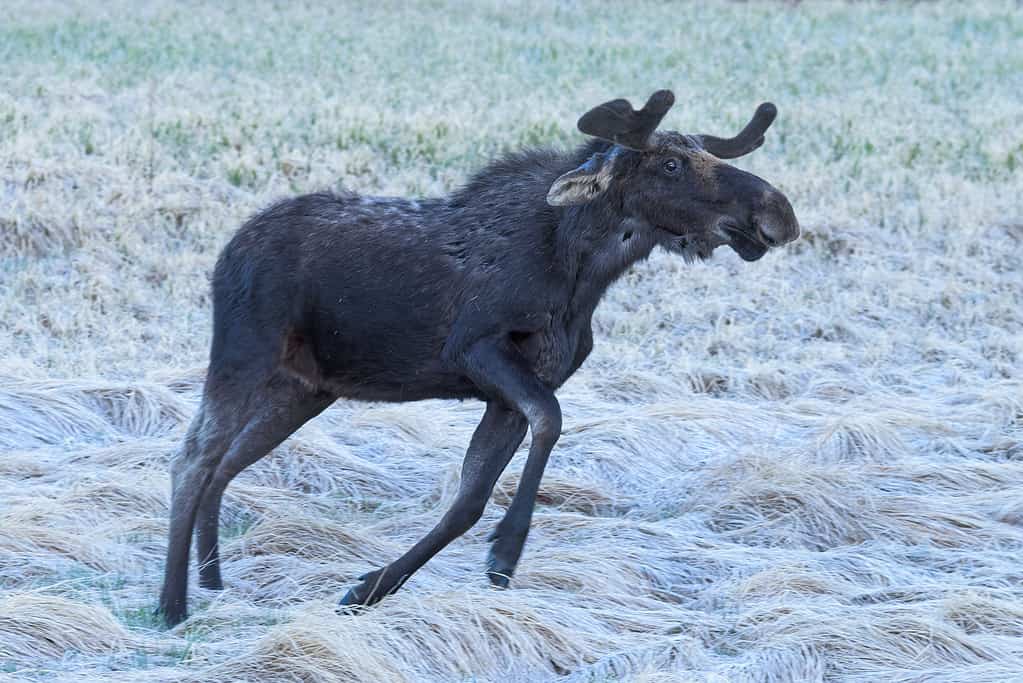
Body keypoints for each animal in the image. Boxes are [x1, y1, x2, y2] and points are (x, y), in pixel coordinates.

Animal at [158, 90, 799, 627]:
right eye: (669, 165)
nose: (779, 212)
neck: (582, 274)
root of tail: (226, 251)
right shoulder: (475, 347)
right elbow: (550, 422)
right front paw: (506, 549)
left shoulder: (510, 391)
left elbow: (468, 501)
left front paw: (369, 589)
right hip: (244, 353)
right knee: (192, 459)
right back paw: (172, 604)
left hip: (304, 389)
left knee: (226, 464)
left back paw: (213, 580)